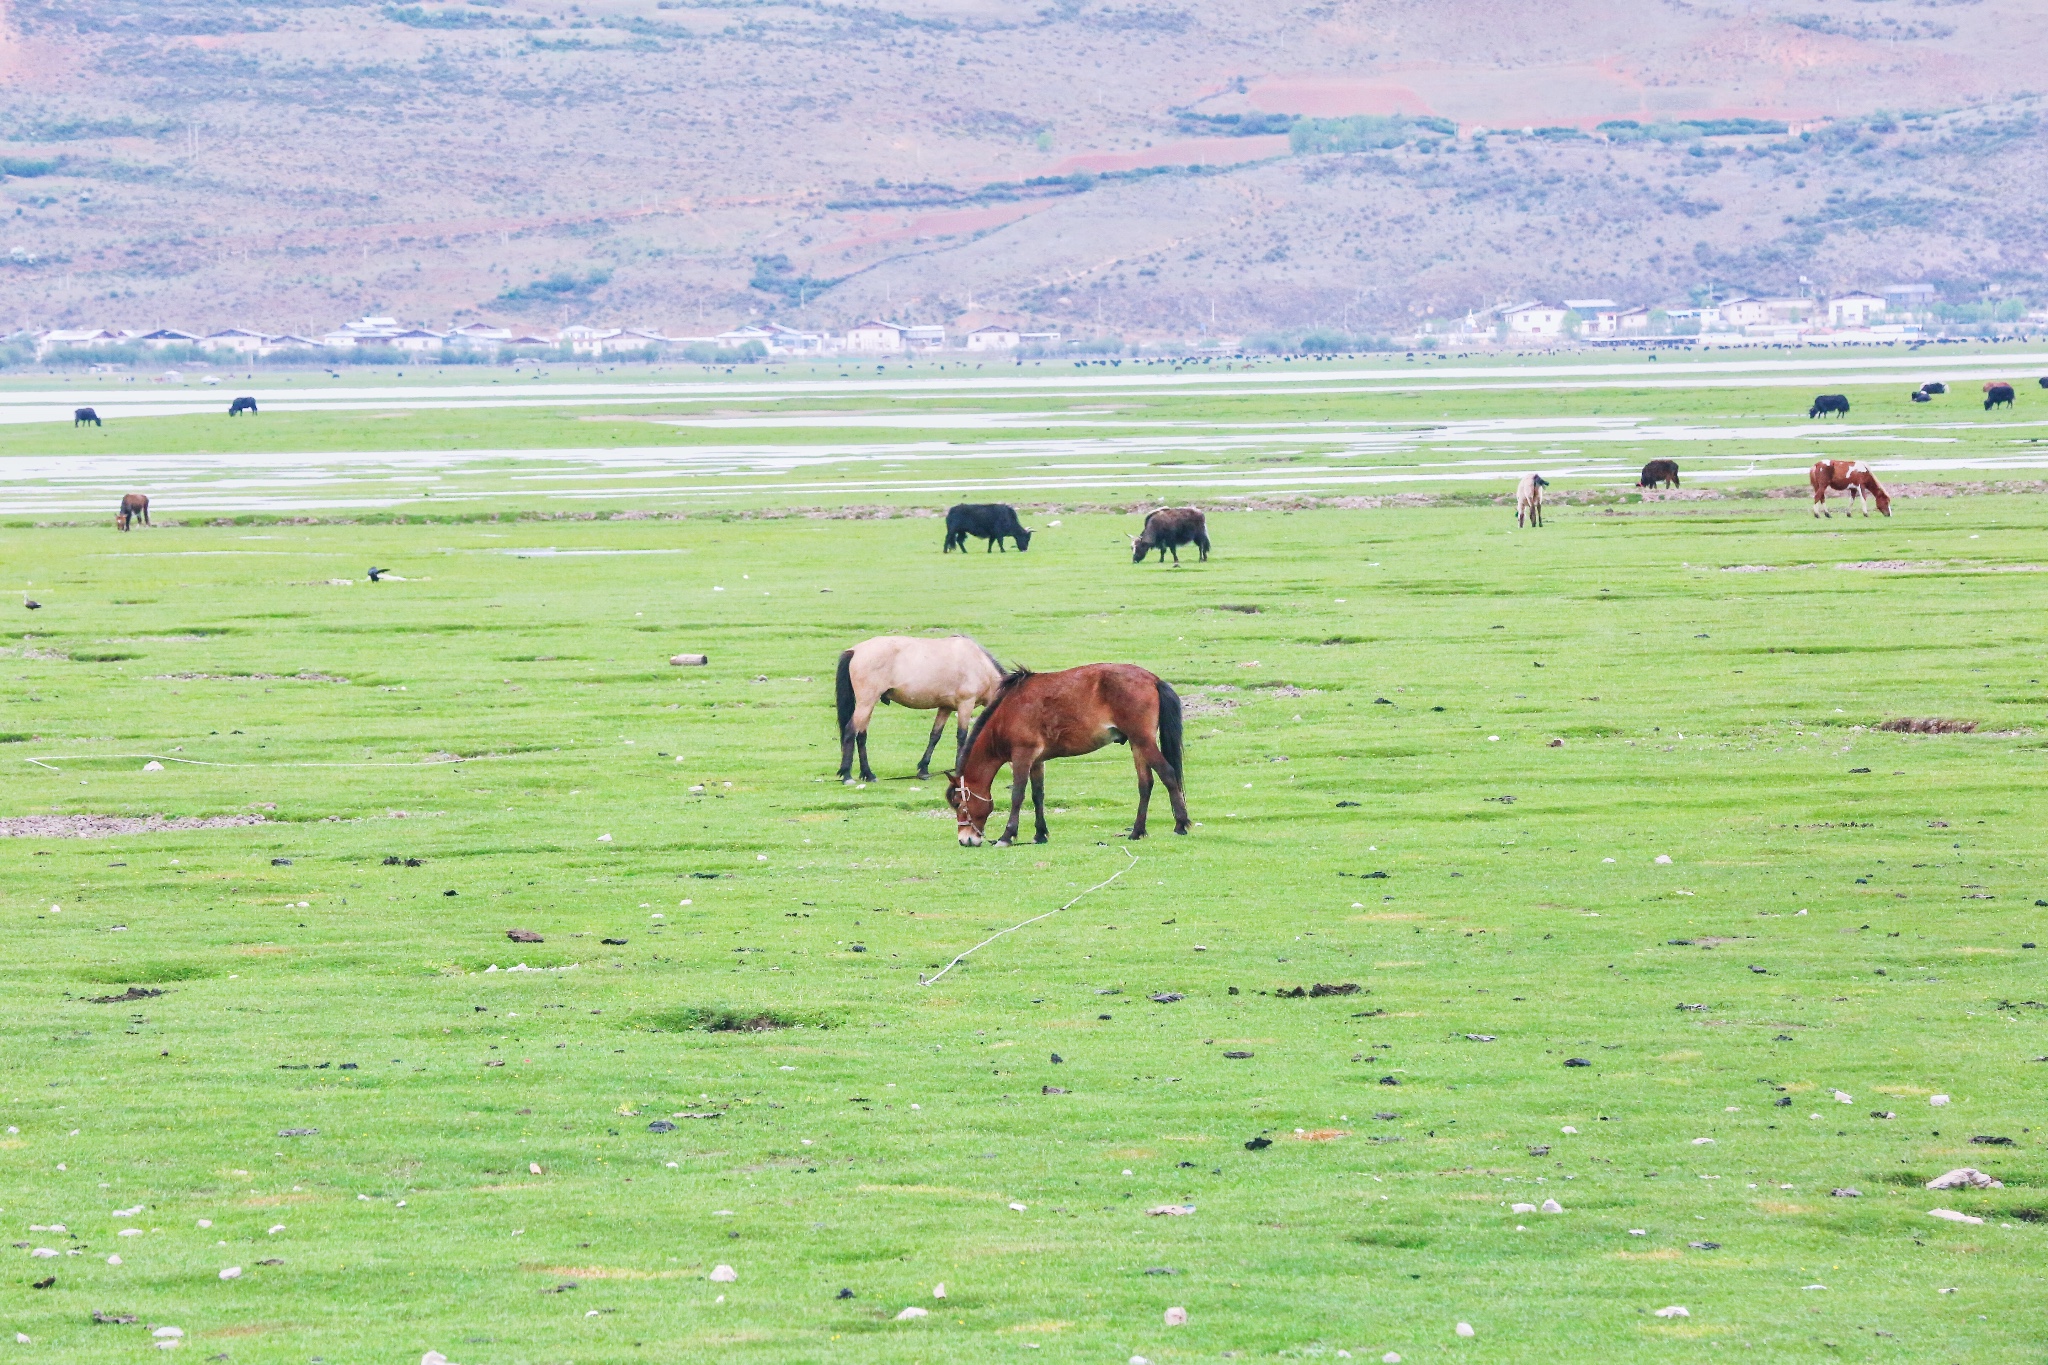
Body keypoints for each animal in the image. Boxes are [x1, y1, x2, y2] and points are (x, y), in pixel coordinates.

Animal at [823, 634, 999, 785]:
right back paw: (847, 775)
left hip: (868, 705)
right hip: (866, 703)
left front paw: (923, 770)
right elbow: (962, 736)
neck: (979, 663)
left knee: (861, 735)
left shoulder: (945, 707)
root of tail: (855, 650)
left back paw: (868, 774)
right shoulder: (965, 704)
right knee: (850, 731)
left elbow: (935, 735)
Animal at [942, 663, 1187, 843]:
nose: (964, 840)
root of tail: (1152, 679)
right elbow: (1037, 795)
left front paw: (1007, 835)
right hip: (1137, 744)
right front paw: (1040, 834)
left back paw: (1181, 824)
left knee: (1168, 773)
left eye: (958, 804)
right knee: (1145, 784)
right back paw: (1137, 831)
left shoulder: (1022, 756)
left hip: (1143, 741)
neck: (1006, 714)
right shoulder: (1036, 761)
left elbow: (1018, 795)